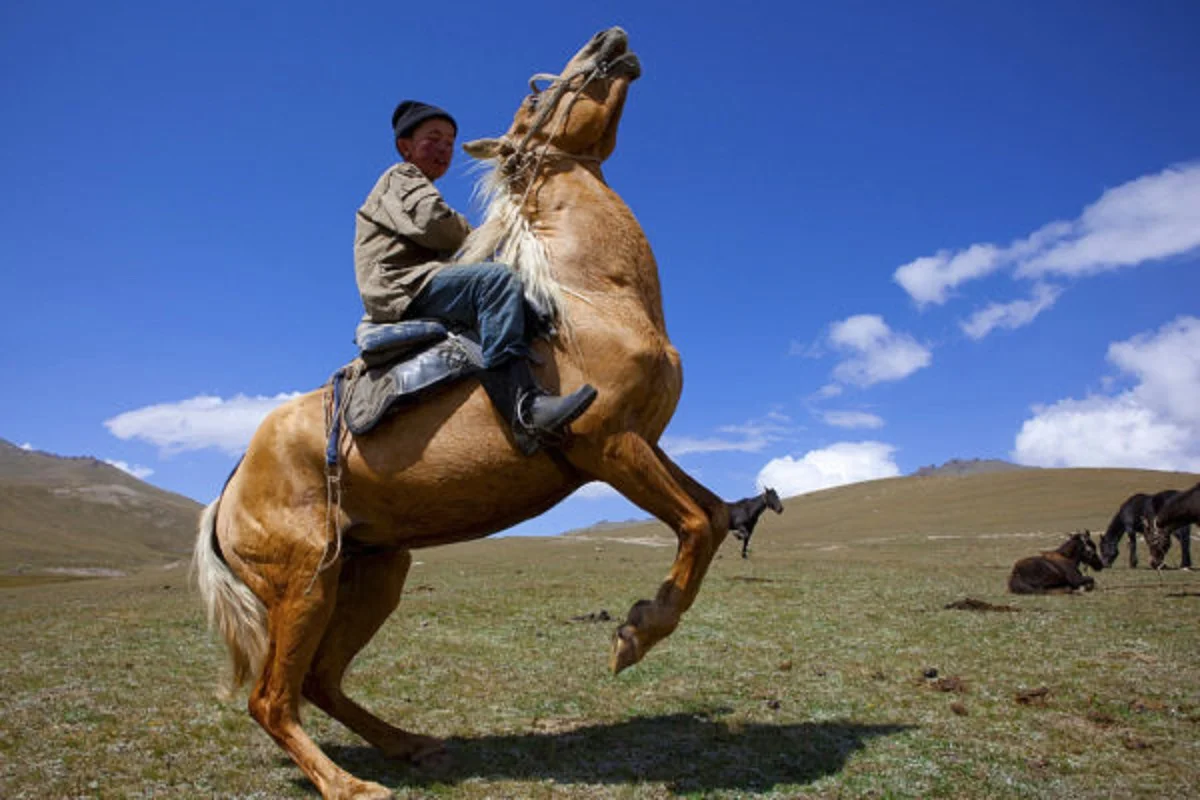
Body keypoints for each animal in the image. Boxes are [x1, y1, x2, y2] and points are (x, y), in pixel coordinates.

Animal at [192, 26, 729, 800]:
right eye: (533, 97)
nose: (612, 37)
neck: (589, 298)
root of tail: (228, 492)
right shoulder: (607, 445)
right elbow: (692, 524)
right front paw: (634, 635)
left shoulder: (643, 441)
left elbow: (714, 514)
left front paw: (642, 622)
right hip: (304, 584)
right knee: (272, 698)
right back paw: (350, 784)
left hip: (373, 573)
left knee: (319, 682)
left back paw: (413, 746)